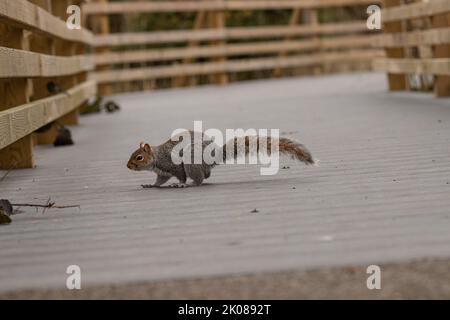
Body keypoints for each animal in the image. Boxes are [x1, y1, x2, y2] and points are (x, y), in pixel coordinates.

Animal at [126, 131, 314, 189]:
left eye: (139, 157)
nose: (128, 166)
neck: (157, 156)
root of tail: (213, 156)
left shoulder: (173, 166)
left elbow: (180, 176)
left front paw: (180, 184)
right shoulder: (162, 172)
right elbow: (159, 180)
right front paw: (151, 185)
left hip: (191, 162)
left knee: (199, 178)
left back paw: (191, 183)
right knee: (206, 175)